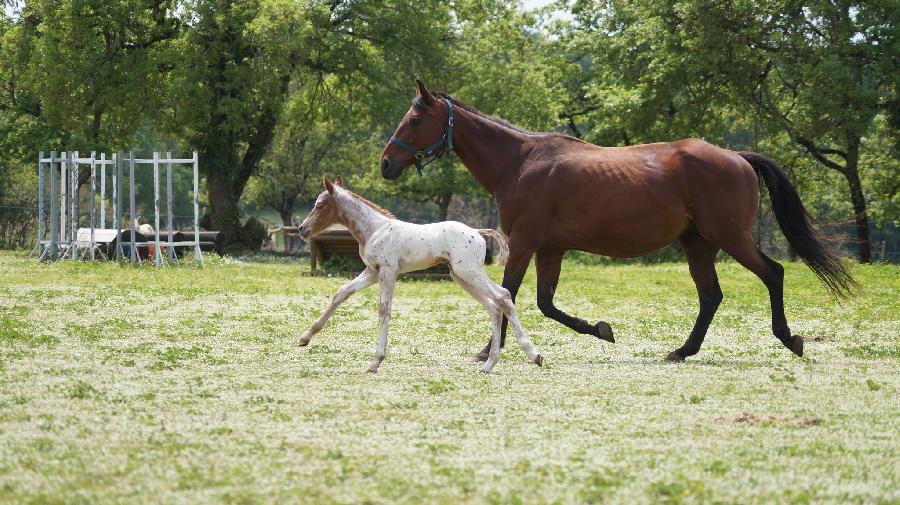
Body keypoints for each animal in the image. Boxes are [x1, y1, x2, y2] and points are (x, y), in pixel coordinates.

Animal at [376, 79, 856, 362]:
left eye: (415, 119)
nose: (386, 164)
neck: (521, 162)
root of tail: (737, 157)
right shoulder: (551, 248)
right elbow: (546, 303)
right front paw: (601, 330)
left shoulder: (525, 242)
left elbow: (508, 296)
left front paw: (485, 351)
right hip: (697, 243)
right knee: (711, 296)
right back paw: (683, 350)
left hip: (728, 236)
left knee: (772, 274)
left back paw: (788, 338)